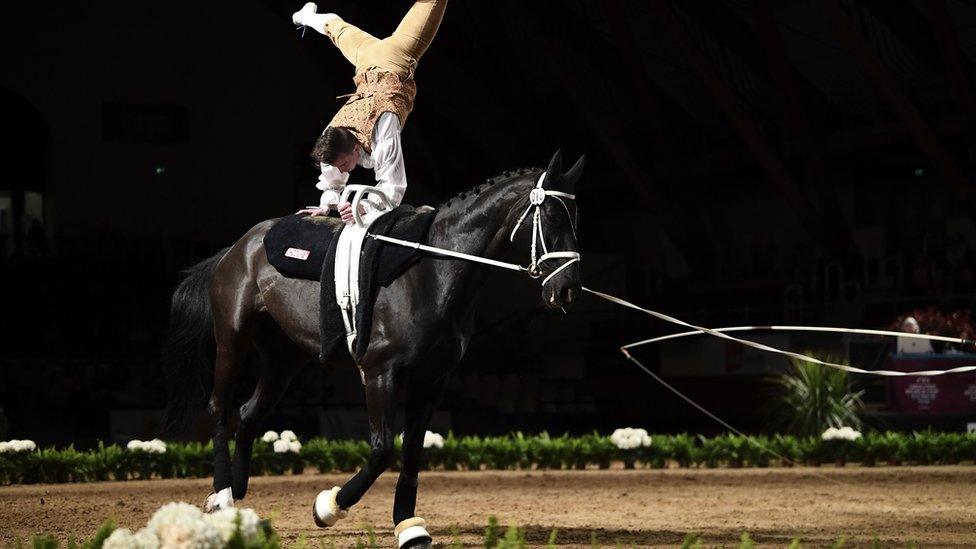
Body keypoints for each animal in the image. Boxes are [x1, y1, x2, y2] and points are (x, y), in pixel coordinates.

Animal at [164, 149, 584, 544]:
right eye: (550, 217)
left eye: (575, 218)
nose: (567, 290)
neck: (434, 272)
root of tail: (239, 246)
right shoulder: (381, 374)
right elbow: (383, 450)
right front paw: (328, 507)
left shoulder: (433, 381)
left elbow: (412, 453)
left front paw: (410, 528)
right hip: (232, 337)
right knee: (220, 408)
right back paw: (222, 496)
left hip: (284, 359)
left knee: (249, 414)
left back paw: (236, 496)